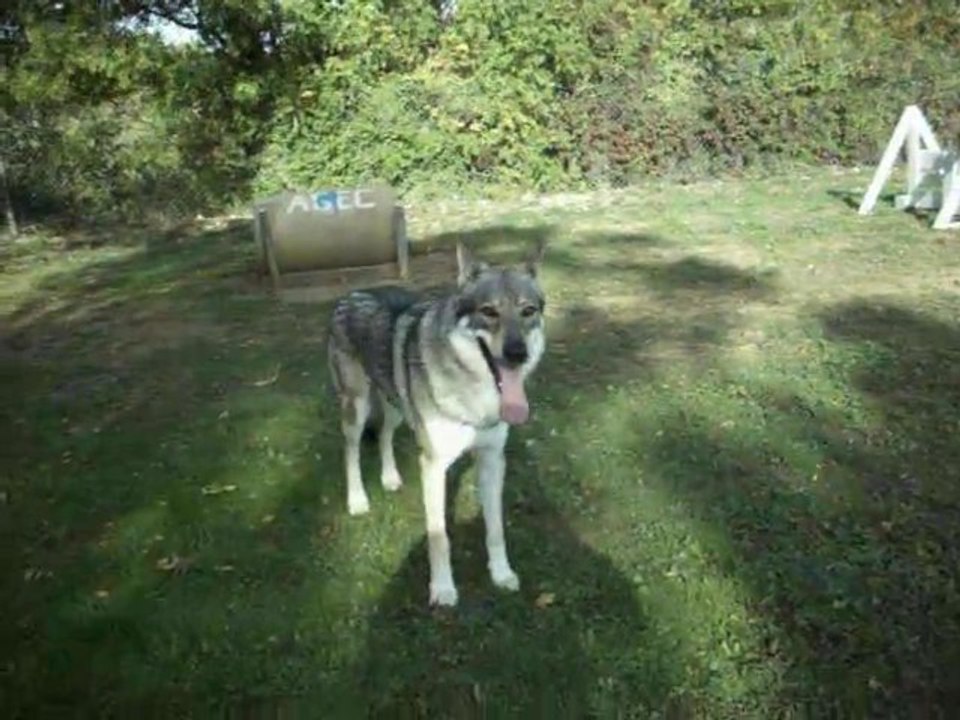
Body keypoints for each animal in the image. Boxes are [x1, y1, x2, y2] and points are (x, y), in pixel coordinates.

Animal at [326, 239, 547, 607]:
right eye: (489, 311)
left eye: (528, 311)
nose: (517, 354)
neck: (475, 396)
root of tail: (352, 292)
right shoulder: (433, 465)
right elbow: (438, 535)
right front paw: (443, 589)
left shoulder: (492, 460)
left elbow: (496, 529)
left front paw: (501, 574)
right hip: (356, 407)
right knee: (350, 452)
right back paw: (357, 500)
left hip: (397, 405)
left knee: (384, 435)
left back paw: (389, 478)